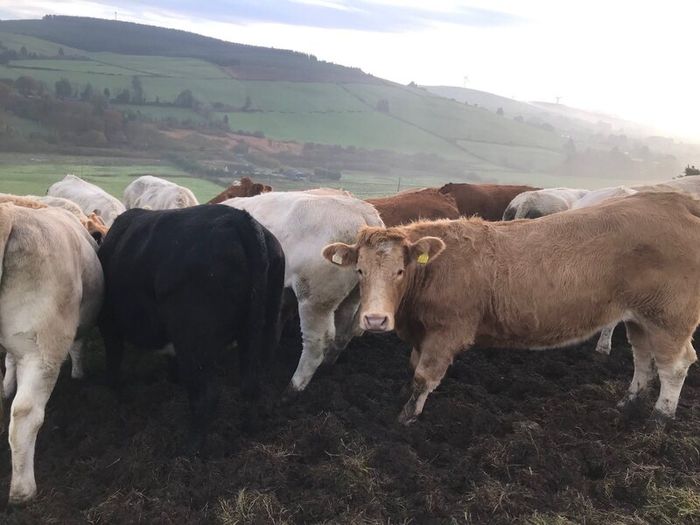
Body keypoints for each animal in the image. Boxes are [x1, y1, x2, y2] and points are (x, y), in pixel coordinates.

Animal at [0, 204, 103, 504]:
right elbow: (78, 347)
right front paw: (79, 374)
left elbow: (10, 361)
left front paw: (7, 387)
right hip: (41, 351)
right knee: (25, 415)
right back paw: (23, 491)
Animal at [97, 205, 285, 454]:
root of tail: (239, 218)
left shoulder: (109, 323)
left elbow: (113, 358)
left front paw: (113, 390)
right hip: (264, 326)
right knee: (253, 381)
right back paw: (249, 428)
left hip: (194, 339)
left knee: (207, 394)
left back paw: (191, 448)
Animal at [222, 190, 384, 393]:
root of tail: (364, 213)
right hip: (351, 298)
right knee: (342, 332)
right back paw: (326, 367)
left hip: (315, 299)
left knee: (317, 343)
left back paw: (293, 388)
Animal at [323, 192, 700, 427]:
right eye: (360, 271)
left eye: (400, 271)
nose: (374, 319)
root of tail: (676, 202)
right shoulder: (423, 332)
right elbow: (412, 369)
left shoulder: (446, 333)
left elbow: (423, 376)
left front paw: (407, 417)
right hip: (641, 318)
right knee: (643, 359)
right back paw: (629, 402)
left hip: (671, 318)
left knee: (675, 365)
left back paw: (660, 418)